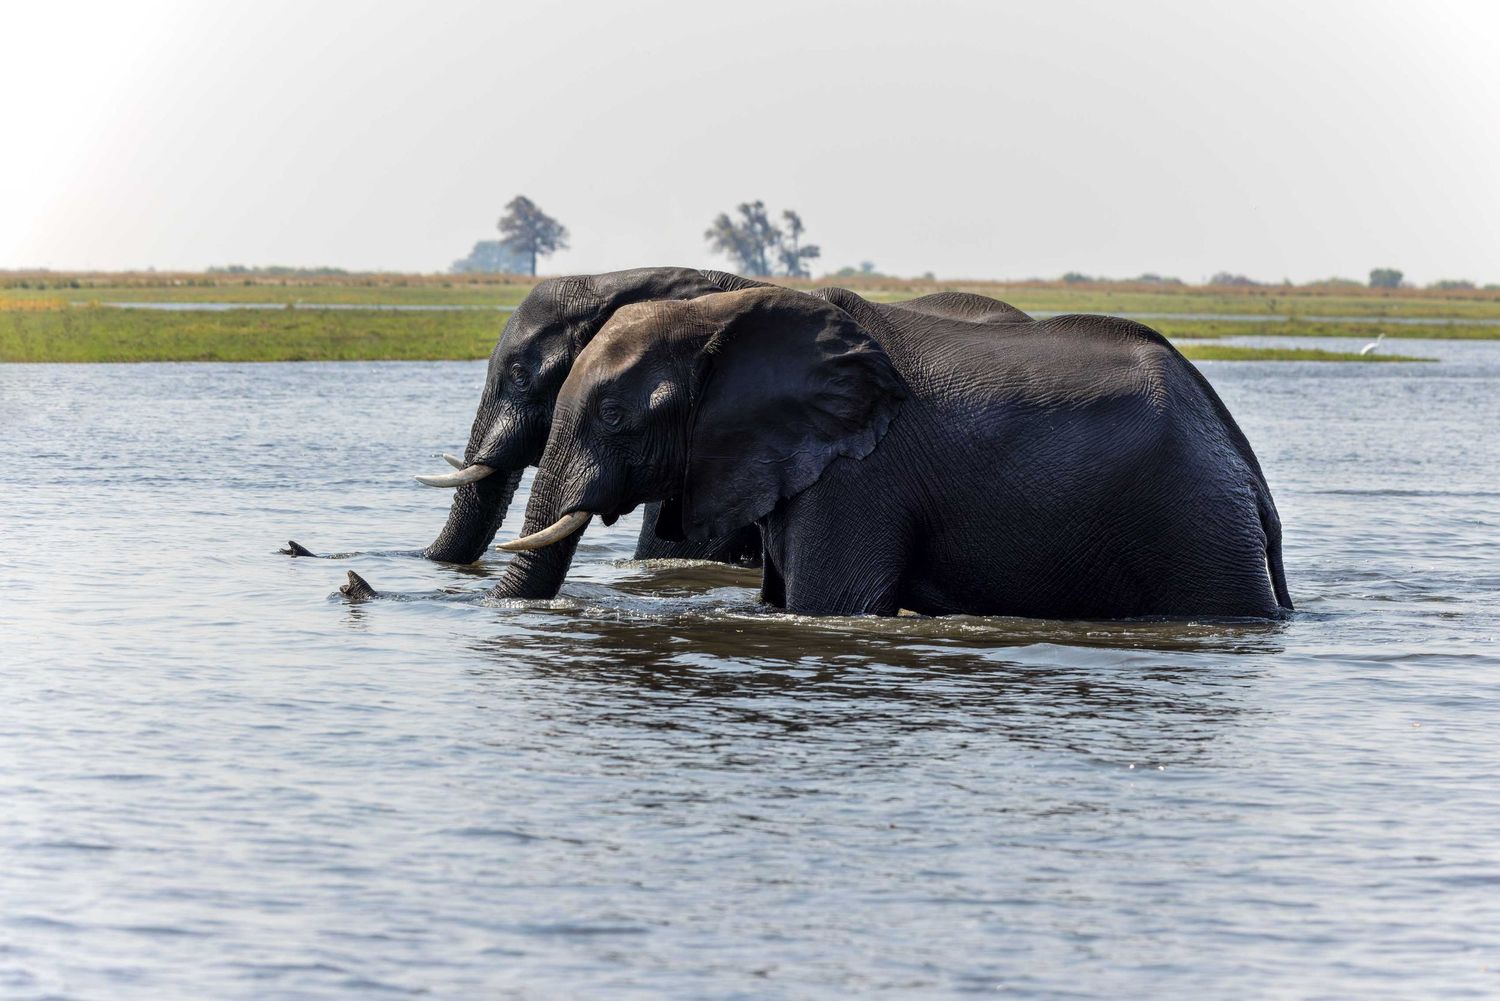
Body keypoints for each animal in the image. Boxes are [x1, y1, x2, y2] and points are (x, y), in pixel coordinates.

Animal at [489, 284, 1293, 619]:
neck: (719, 316)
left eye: (614, 415)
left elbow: (829, 606)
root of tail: (1248, 469)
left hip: (1197, 525)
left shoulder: (858, 477)